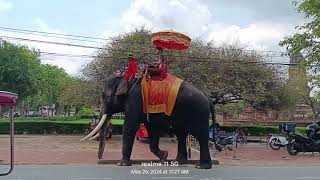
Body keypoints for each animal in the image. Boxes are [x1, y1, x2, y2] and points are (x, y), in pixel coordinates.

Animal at [81, 75, 215, 169]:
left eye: (104, 96)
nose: (100, 159)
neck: (127, 78)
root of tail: (208, 97)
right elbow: (152, 129)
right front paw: (164, 157)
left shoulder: (134, 102)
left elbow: (129, 127)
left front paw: (121, 164)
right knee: (181, 133)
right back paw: (178, 162)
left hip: (197, 112)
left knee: (200, 135)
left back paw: (201, 166)